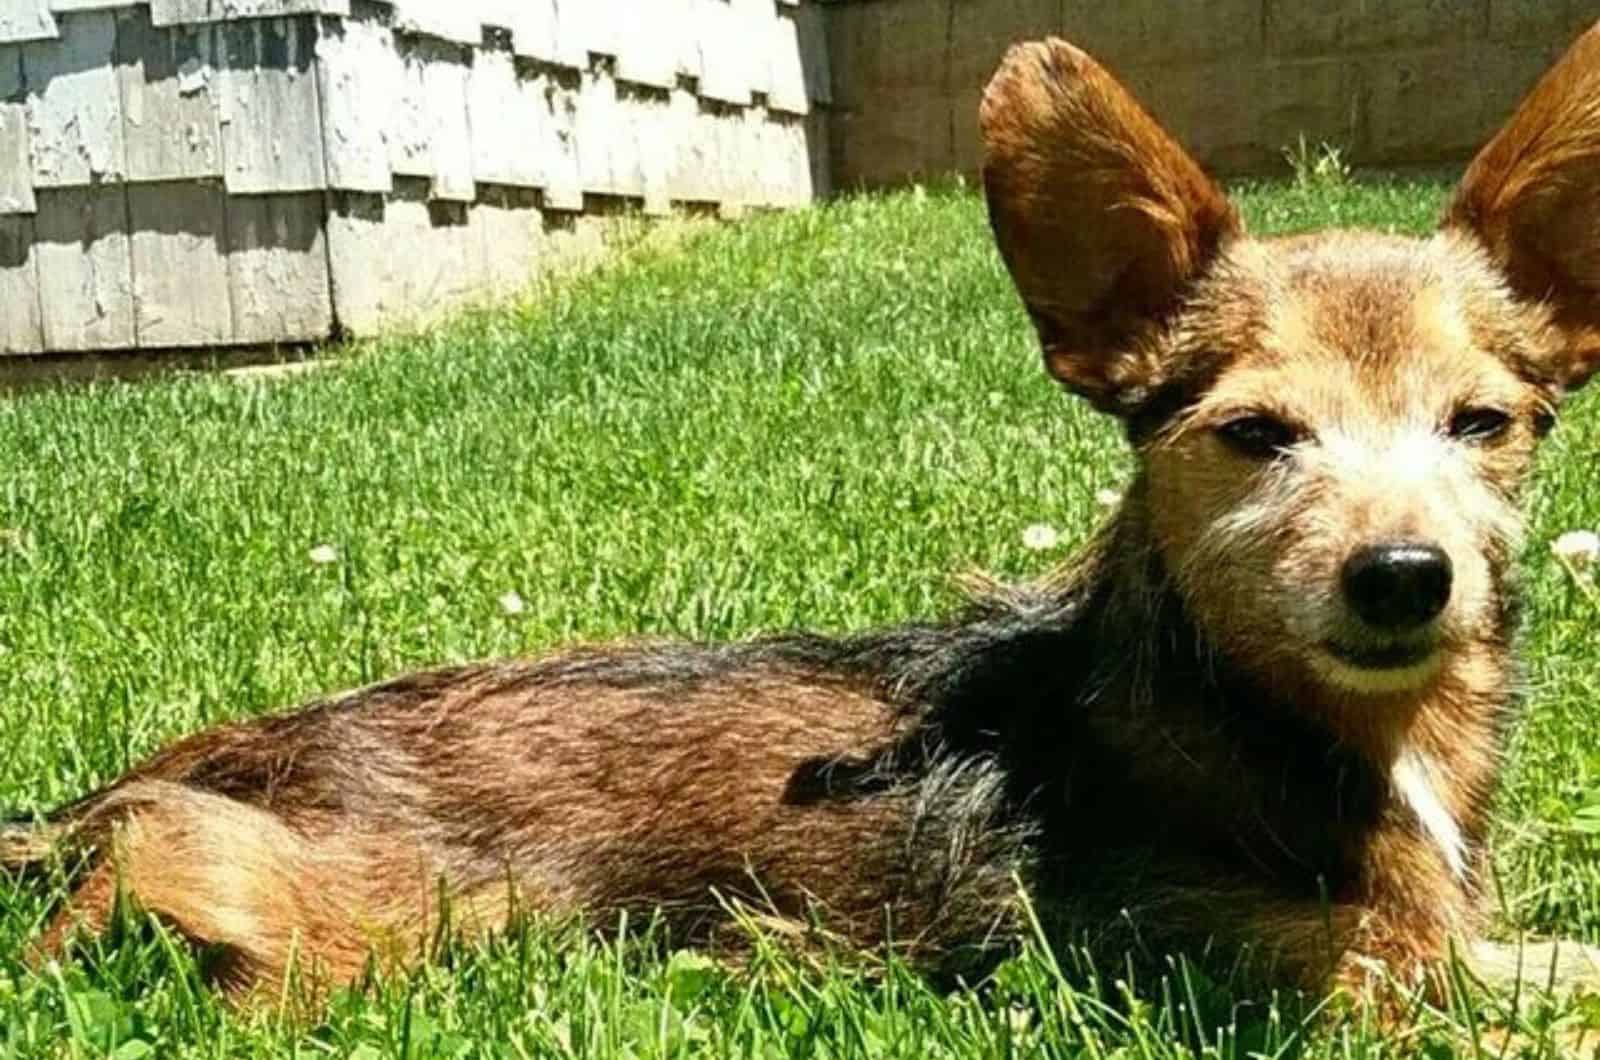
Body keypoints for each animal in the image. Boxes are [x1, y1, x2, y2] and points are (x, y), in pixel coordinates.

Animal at [3, 18, 1600, 1011]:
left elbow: (1557, 959)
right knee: (150, 861)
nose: (1404, 575)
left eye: (1486, 425)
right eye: (1255, 435)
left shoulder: (1433, 943)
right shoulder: (1288, 974)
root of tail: (235, 744)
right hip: (363, 918)